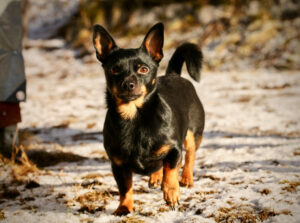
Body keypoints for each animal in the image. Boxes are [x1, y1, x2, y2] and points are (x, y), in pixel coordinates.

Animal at [92, 23, 205, 216]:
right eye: (115, 69)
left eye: (143, 69)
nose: (128, 84)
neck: (134, 117)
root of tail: (174, 75)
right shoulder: (118, 165)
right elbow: (125, 188)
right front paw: (124, 207)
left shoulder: (174, 150)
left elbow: (171, 170)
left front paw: (171, 192)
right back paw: (156, 177)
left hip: (193, 134)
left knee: (189, 156)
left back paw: (186, 178)